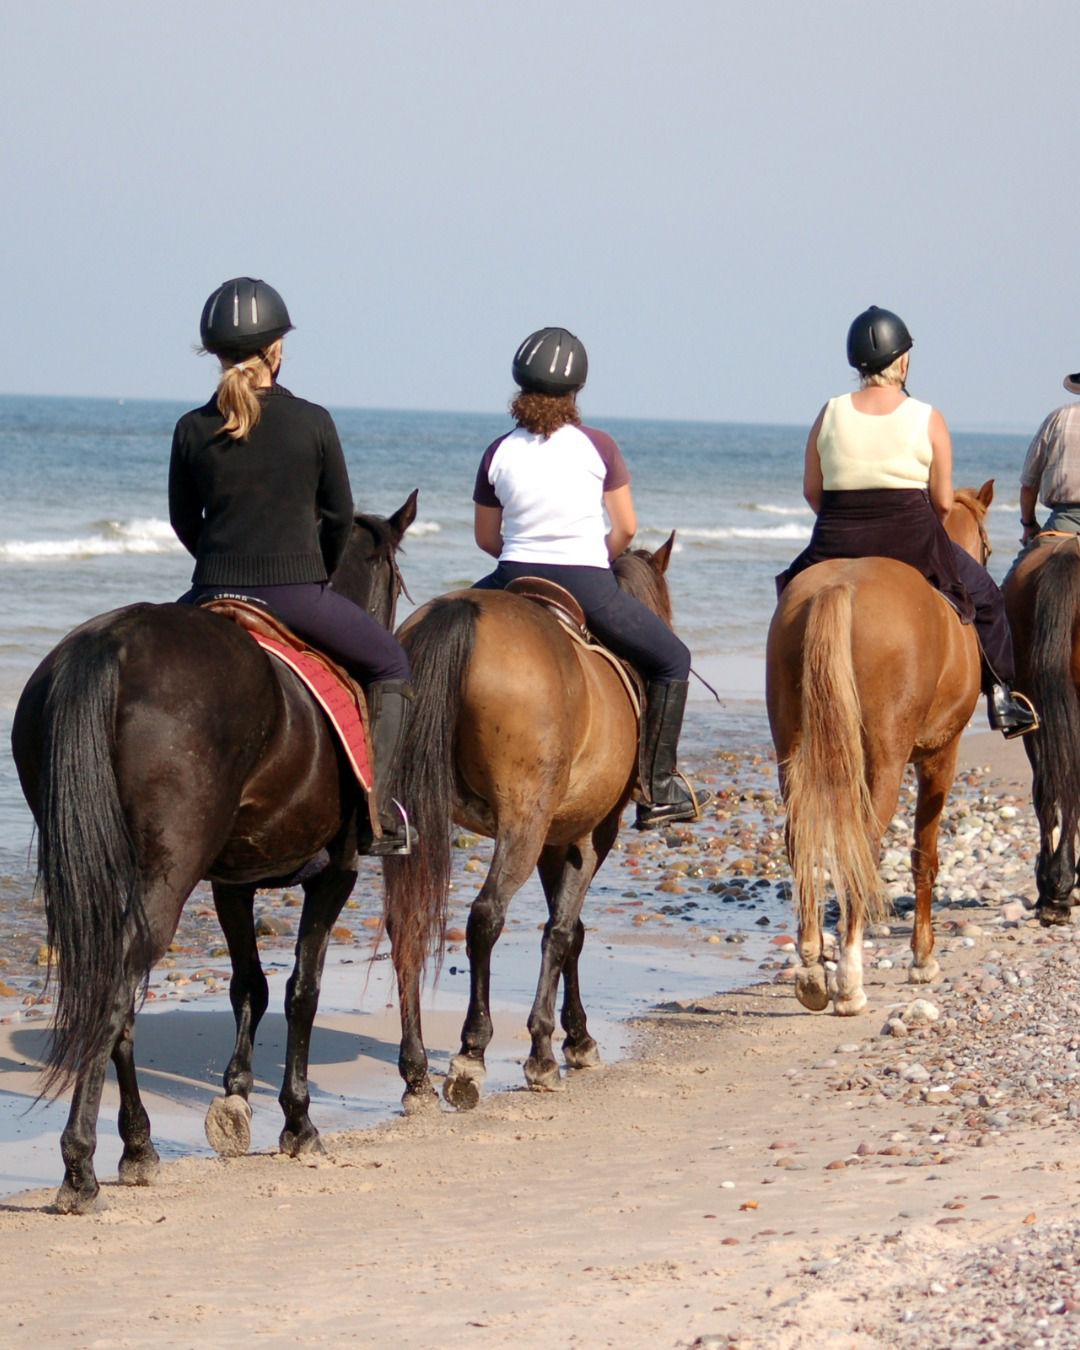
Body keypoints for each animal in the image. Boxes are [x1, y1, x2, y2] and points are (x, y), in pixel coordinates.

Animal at [10, 493, 416, 1213]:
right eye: (394, 582)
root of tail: (111, 644)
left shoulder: (231, 881)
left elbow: (249, 984)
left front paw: (236, 1099)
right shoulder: (335, 874)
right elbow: (302, 989)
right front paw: (296, 1121)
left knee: (116, 994)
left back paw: (138, 1146)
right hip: (170, 875)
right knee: (116, 992)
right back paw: (80, 1167)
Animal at [381, 536, 679, 1111]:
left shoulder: (555, 838)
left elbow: (571, 928)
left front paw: (576, 1036)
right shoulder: (590, 833)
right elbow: (562, 931)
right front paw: (550, 1048)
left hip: (410, 820)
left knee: (404, 922)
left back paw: (416, 1073)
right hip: (522, 821)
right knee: (485, 917)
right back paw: (470, 1054)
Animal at [765, 483, 994, 1015]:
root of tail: (839, 588)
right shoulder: (941, 756)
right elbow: (924, 854)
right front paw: (923, 959)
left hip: (791, 750)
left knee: (800, 839)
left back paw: (812, 972)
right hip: (885, 762)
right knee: (863, 846)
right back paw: (849, 981)